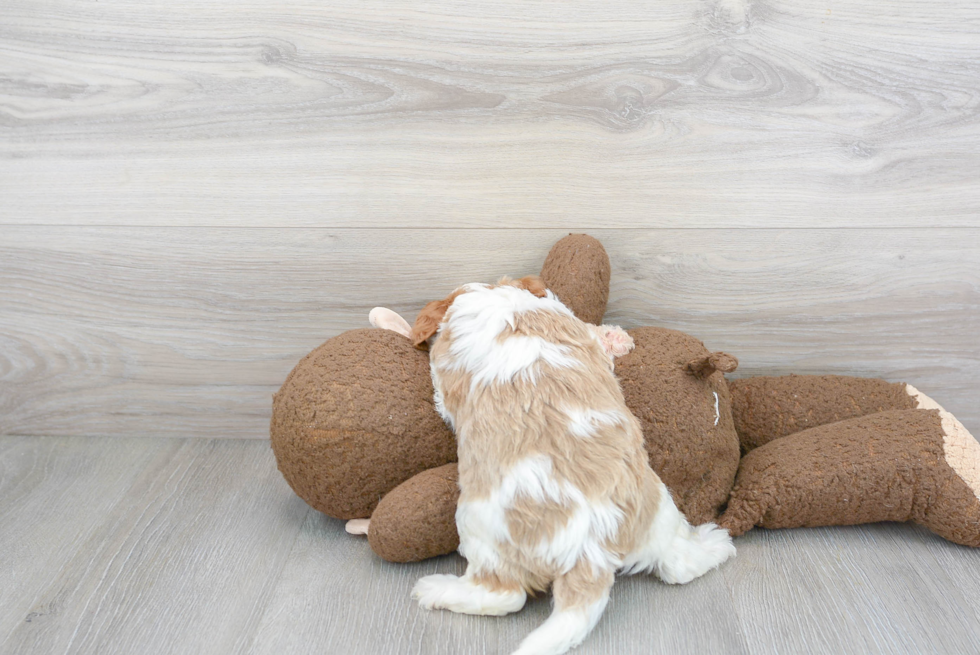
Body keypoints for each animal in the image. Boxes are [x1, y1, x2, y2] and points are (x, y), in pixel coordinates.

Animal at [408, 276, 736, 655]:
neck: (503, 301)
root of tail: (590, 549)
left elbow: (441, 390)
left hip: (479, 528)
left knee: (504, 595)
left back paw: (436, 589)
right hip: (657, 504)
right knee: (676, 564)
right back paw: (715, 545)